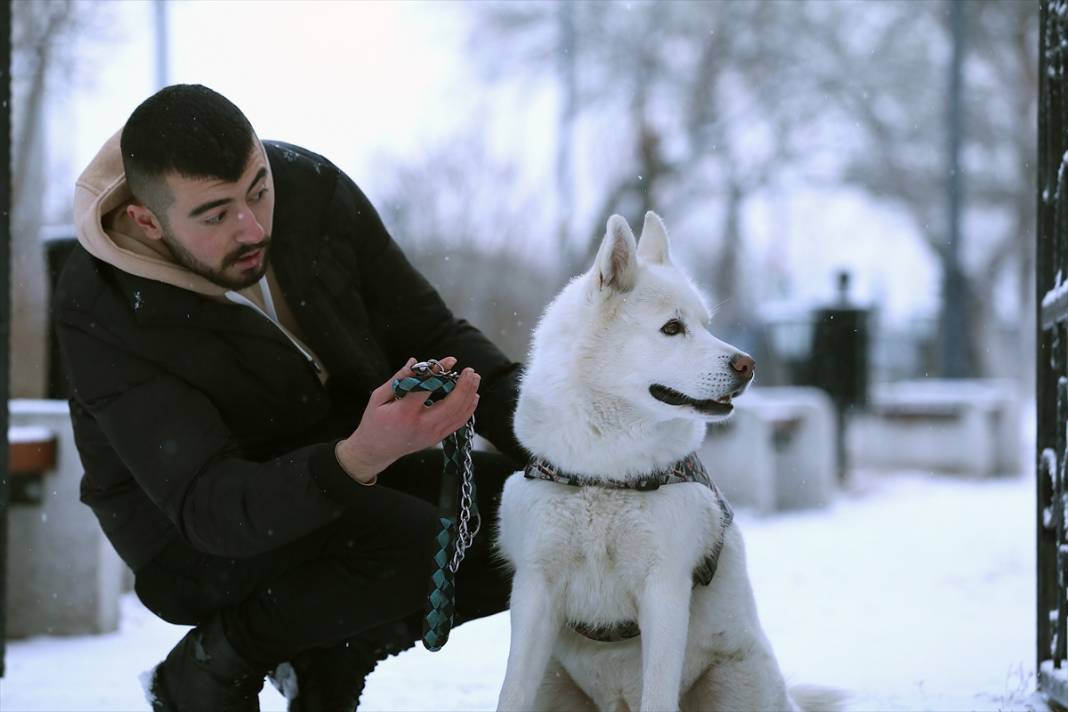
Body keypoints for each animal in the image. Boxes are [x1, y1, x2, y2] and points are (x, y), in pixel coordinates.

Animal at [491, 213, 815, 712]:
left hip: (736, 680)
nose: (748, 364)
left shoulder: (664, 589)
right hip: (553, 680)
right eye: (672, 328)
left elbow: (659, 694)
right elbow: (511, 692)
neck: (605, 472)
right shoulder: (534, 589)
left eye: (706, 324)